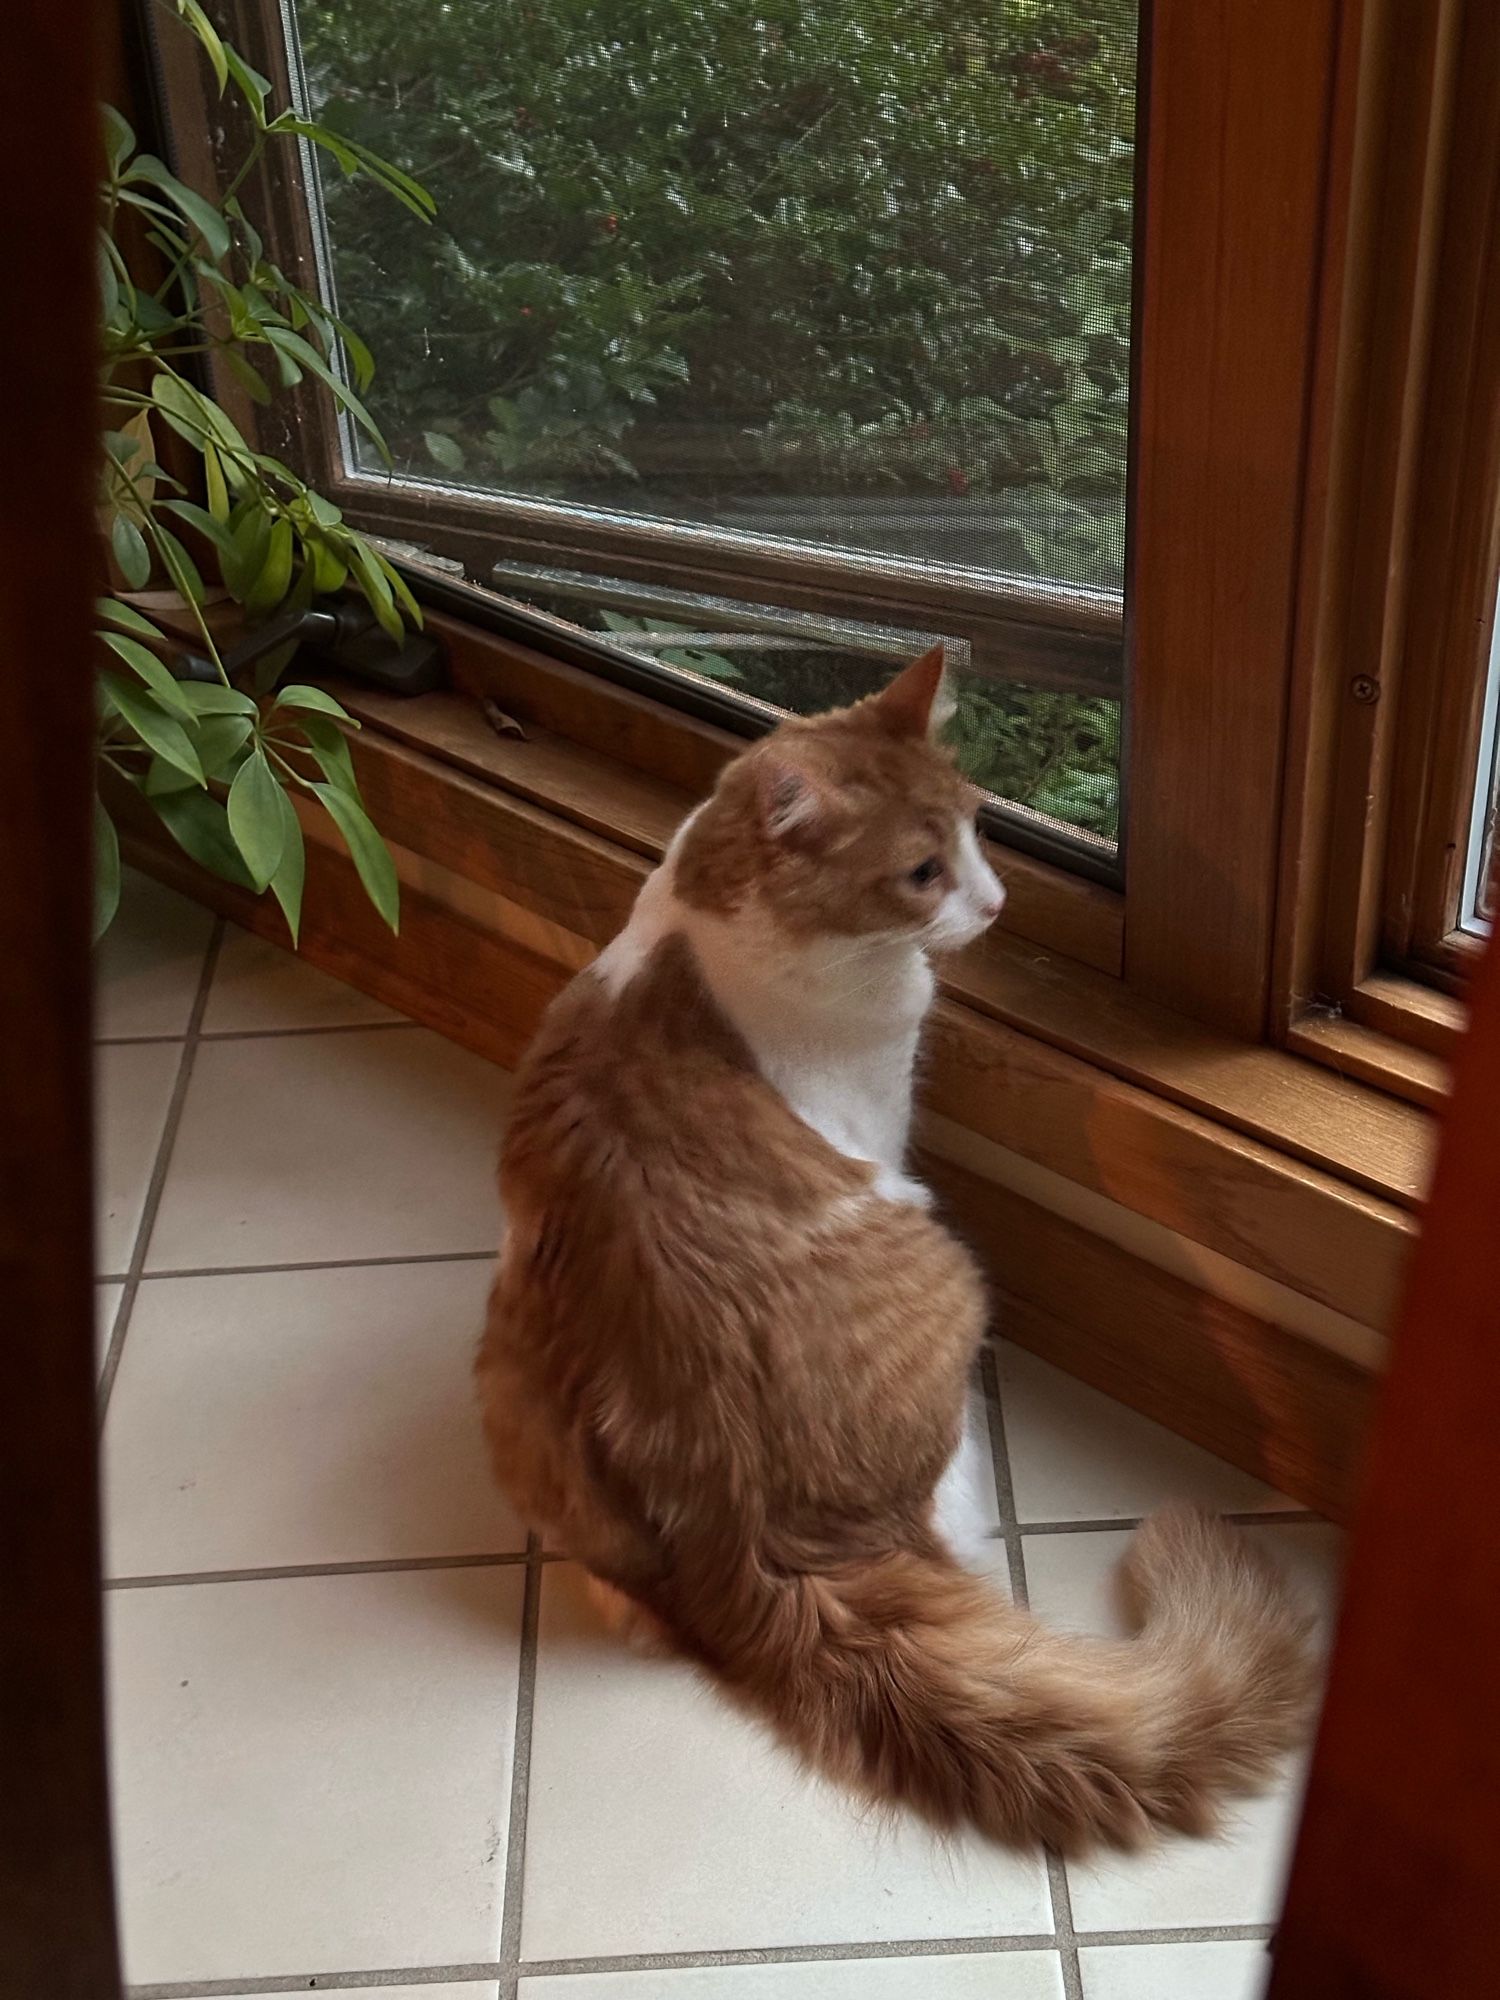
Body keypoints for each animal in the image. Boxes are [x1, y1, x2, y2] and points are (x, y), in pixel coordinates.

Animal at [476, 648, 1312, 1848]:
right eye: (923, 872)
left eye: (975, 826)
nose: (997, 901)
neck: (709, 922)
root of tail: (756, 1548)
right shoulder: (879, 1122)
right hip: (942, 1275)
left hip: (509, 1366)